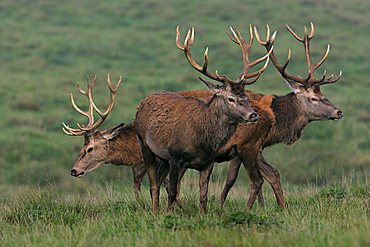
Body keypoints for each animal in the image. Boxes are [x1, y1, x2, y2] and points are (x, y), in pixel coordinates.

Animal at [134, 25, 270, 214]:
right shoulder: (175, 156)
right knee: (154, 182)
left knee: (159, 181)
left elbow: (203, 194)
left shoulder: (208, 162)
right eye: (230, 98)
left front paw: (202, 215)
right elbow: (173, 191)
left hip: (164, 157)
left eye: (246, 97)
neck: (202, 141)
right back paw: (155, 212)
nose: (253, 115)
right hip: (145, 144)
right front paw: (169, 214)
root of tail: (142, 103)